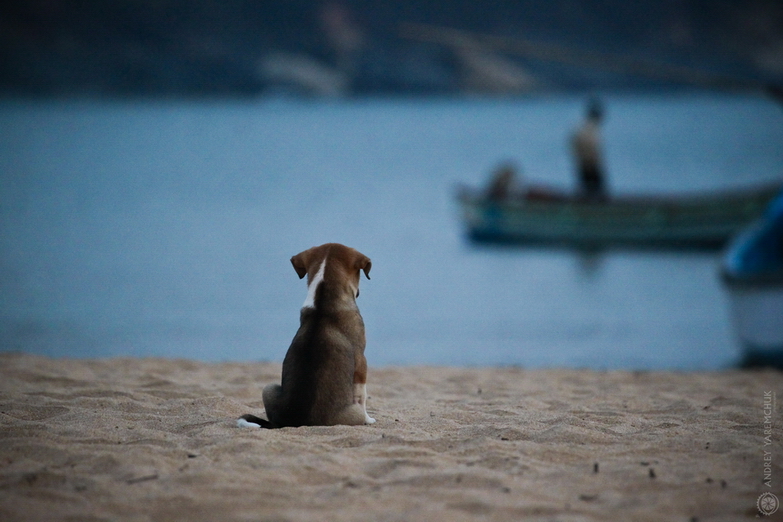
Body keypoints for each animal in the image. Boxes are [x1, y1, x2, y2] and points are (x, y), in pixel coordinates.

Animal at [237, 243, 376, 426]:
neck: (323, 300)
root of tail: (294, 421)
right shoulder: (361, 363)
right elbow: (362, 395)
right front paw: (370, 419)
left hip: (268, 388)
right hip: (352, 411)